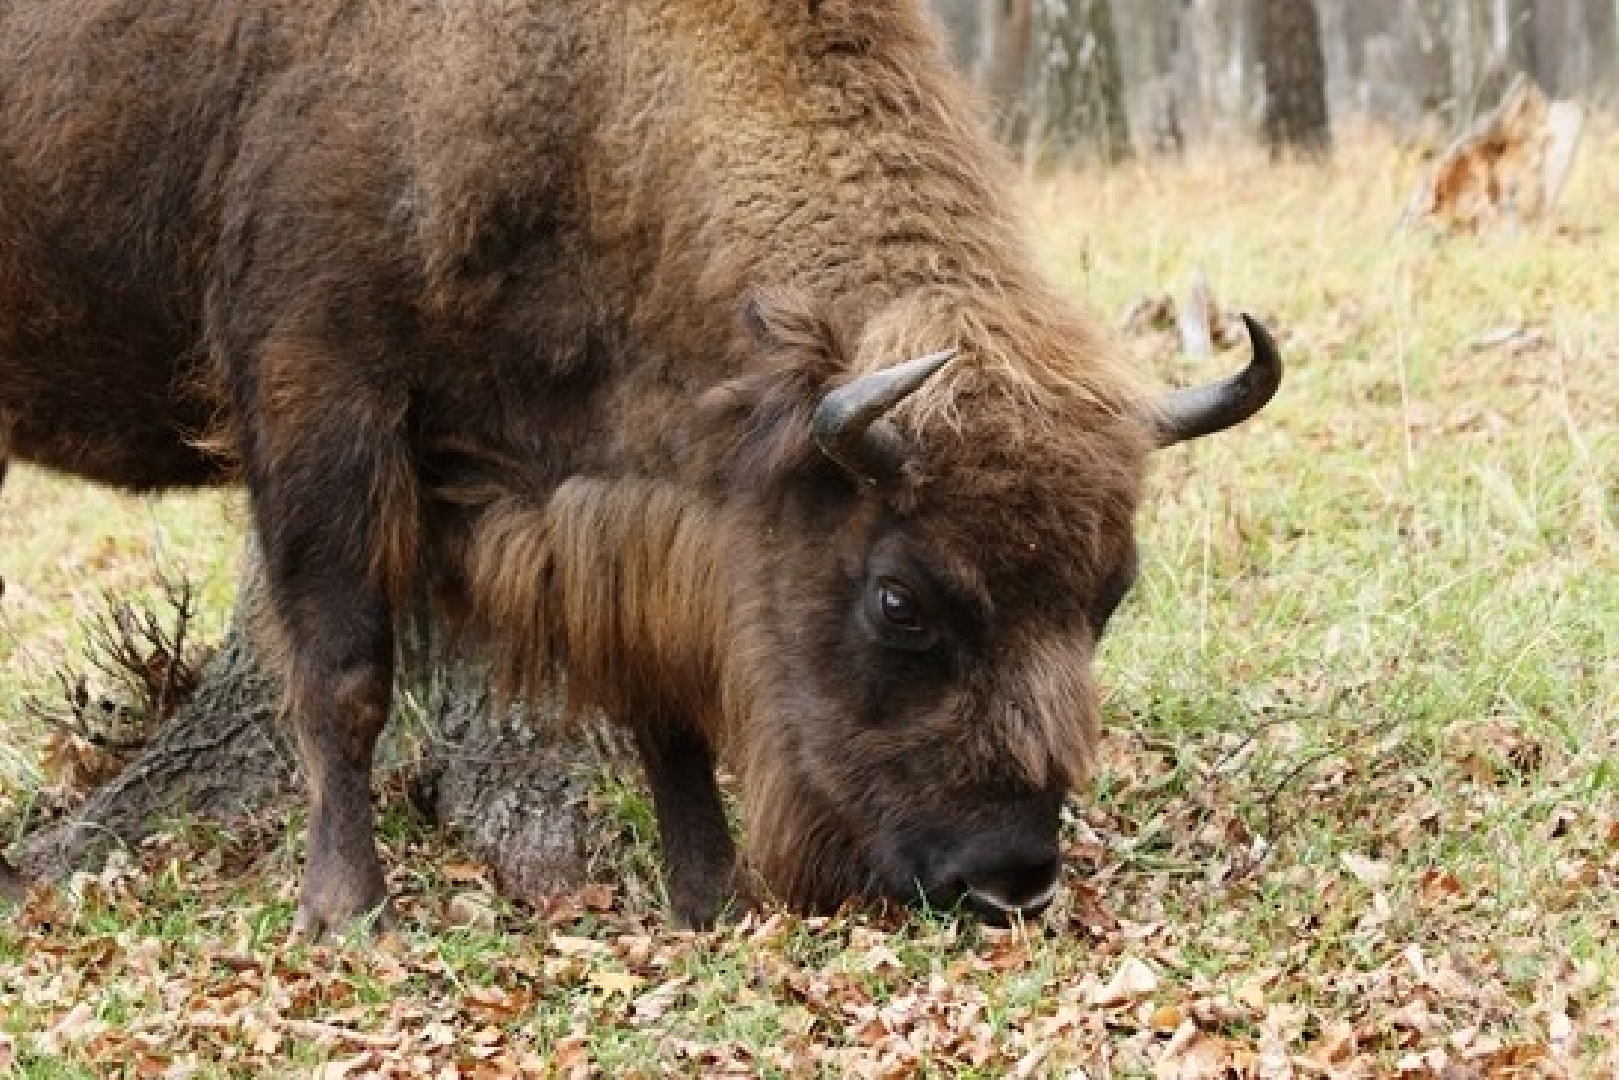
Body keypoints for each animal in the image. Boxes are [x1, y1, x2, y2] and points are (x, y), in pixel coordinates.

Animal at [3, 0, 1275, 932]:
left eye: (1109, 593)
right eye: (899, 600)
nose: (1006, 879)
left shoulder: (623, 490)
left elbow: (660, 694)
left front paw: (707, 900)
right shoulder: (317, 396)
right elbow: (344, 674)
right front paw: (347, 913)